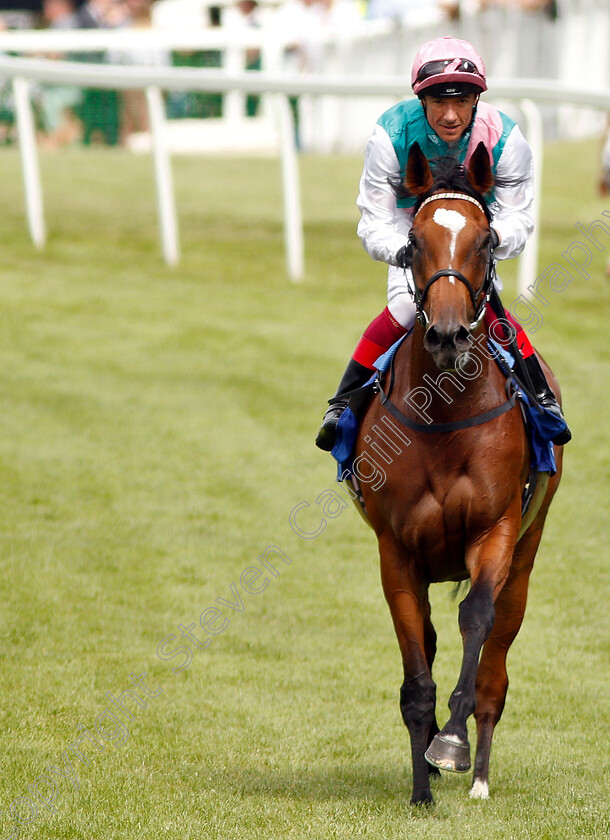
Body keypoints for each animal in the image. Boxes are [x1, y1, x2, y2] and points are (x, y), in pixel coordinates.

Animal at [354, 141, 564, 804]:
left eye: (485, 239)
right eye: (414, 241)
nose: (447, 336)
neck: (445, 413)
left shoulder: (495, 531)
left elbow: (476, 617)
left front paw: (451, 744)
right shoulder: (396, 551)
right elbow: (416, 668)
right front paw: (421, 786)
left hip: (527, 554)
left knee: (495, 667)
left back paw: (479, 775)